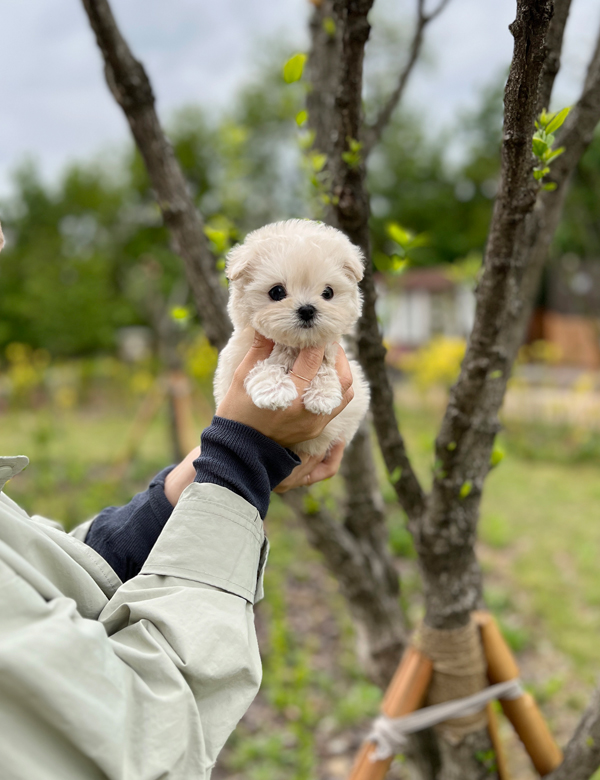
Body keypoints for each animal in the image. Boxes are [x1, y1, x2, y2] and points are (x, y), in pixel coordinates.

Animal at [211, 219, 370, 458]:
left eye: (328, 293)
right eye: (277, 292)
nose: (307, 309)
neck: (293, 346)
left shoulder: (332, 352)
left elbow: (325, 366)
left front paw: (323, 394)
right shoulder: (235, 366)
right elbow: (262, 366)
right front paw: (274, 390)